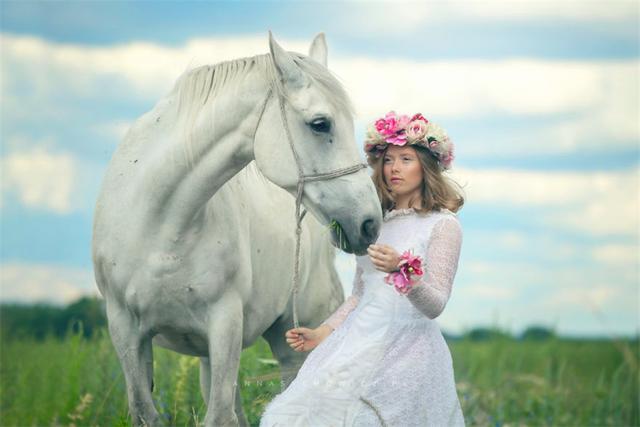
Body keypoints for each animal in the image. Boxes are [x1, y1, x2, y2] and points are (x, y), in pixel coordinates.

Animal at [92, 30, 382, 427]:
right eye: (320, 123)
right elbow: (147, 410)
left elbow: (218, 415)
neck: (159, 225)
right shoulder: (125, 329)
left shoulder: (224, 323)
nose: (369, 223)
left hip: (293, 343)